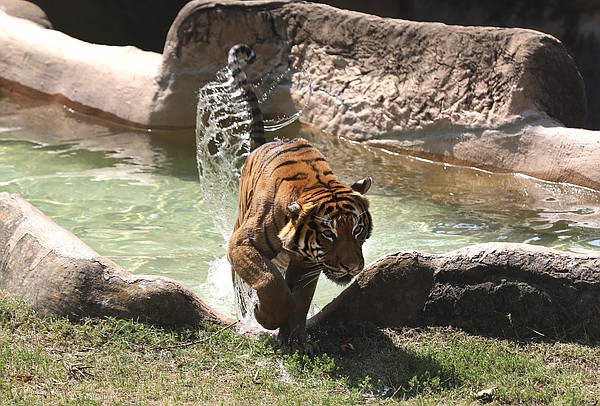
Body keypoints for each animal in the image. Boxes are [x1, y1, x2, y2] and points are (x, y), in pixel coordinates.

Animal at [227, 43, 372, 356]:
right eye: (329, 233)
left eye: (357, 229)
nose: (351, 266)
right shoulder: (242, 243)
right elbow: (270, 282)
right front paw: (264, 316)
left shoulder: (308, 264)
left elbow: (300, 301)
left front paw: (296, 341)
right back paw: (245, 313)